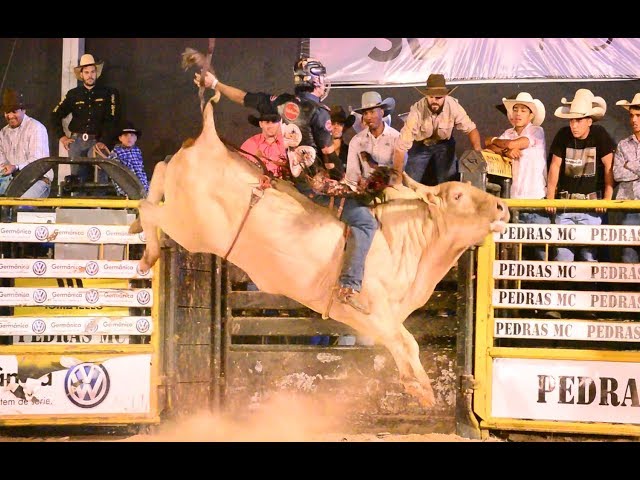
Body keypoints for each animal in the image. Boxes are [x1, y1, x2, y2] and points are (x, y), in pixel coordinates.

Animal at [131, 97, 510, 408]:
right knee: (149, 208)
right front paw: (423, 391)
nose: (502, 208)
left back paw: (136, 229)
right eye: (458, 196)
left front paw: (415, 386)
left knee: (159, 174)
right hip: (186, 226)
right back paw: (146, 251)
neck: (403, 237)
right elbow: (406, 342)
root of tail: (211, 141)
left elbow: (400, 341)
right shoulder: (372, 310)